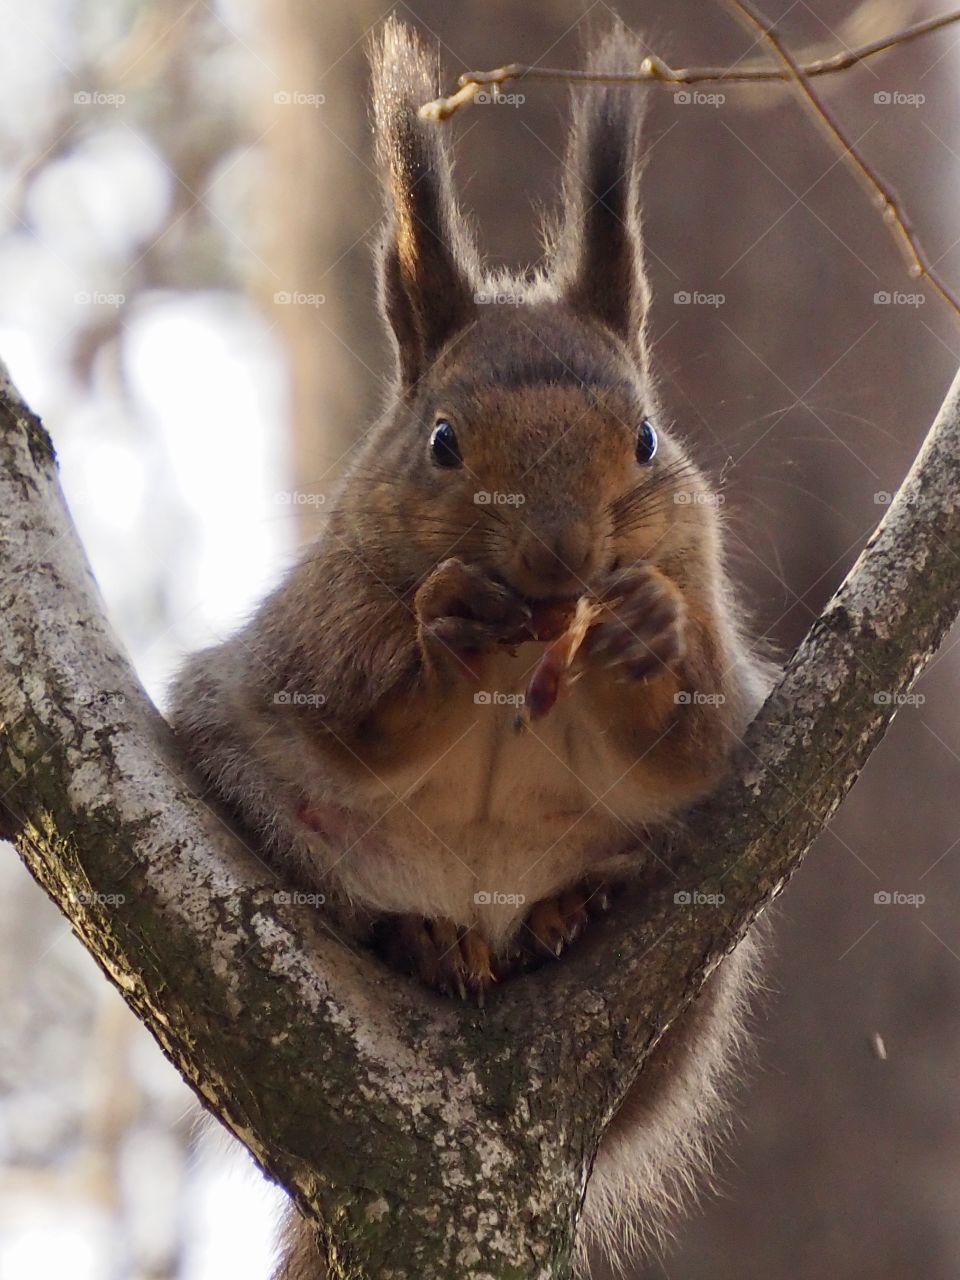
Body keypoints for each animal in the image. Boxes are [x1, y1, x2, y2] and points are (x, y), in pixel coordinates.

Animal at [168, 17, 772, 1277]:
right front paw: (442, 629)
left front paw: (643, 629)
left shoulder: (710, 610)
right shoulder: (324, 617)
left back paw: (564, 914)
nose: (559, 555)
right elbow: (350, 707)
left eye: (647, 439)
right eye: (443, 441)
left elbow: (692, 739)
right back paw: (422, 936)